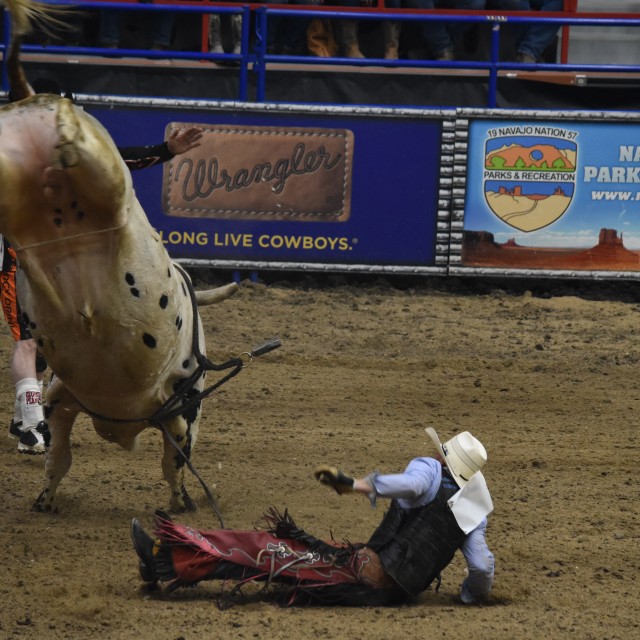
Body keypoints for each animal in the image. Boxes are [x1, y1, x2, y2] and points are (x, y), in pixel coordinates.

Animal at [1, 0, 238, 514]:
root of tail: (31, 97)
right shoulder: (182, 408)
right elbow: (174, 461)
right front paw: (180, 501)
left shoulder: (61, 398)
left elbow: (60, 454)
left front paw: (46, 497)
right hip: (108, 176)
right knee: (97, 167)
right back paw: (67, 127)